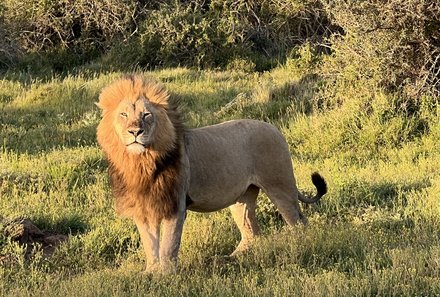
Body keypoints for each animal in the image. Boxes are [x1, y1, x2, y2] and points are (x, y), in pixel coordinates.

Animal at [96, 73, 326, 270]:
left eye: (146, 115)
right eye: (123, 114)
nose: (135, 131)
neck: (141, 162)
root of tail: (275, 129)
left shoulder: (175, 204)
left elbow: (168, 244)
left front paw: (166, 274)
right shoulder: (143, 207)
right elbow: (150, 244)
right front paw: (151, 272)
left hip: (280, 186)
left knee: (299, 221)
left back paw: (301, 247)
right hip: (242, 197)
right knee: (252, 232)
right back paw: (229, 259)